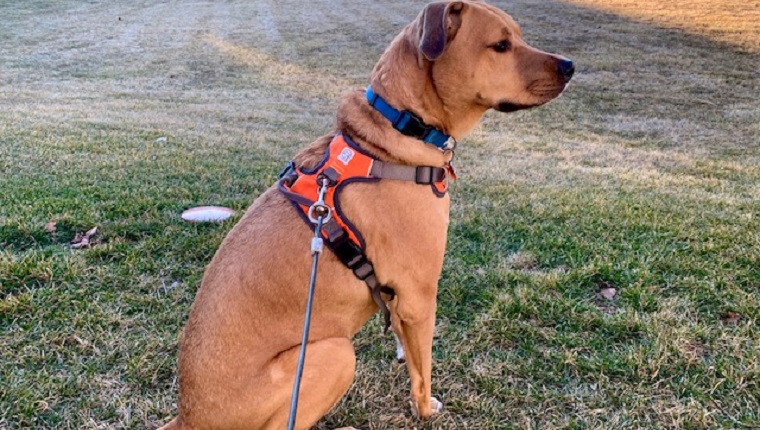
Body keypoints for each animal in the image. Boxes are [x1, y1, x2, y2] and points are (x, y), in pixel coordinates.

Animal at [160, 1, 572, 428]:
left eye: (518, 36)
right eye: (500, 45)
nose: (570, 66)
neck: (403, 130)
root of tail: (189, 417)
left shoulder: (399, 300)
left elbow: (408, 350)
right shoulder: (419, 296)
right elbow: (423, 372)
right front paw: (425, 409)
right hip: (333, 353)